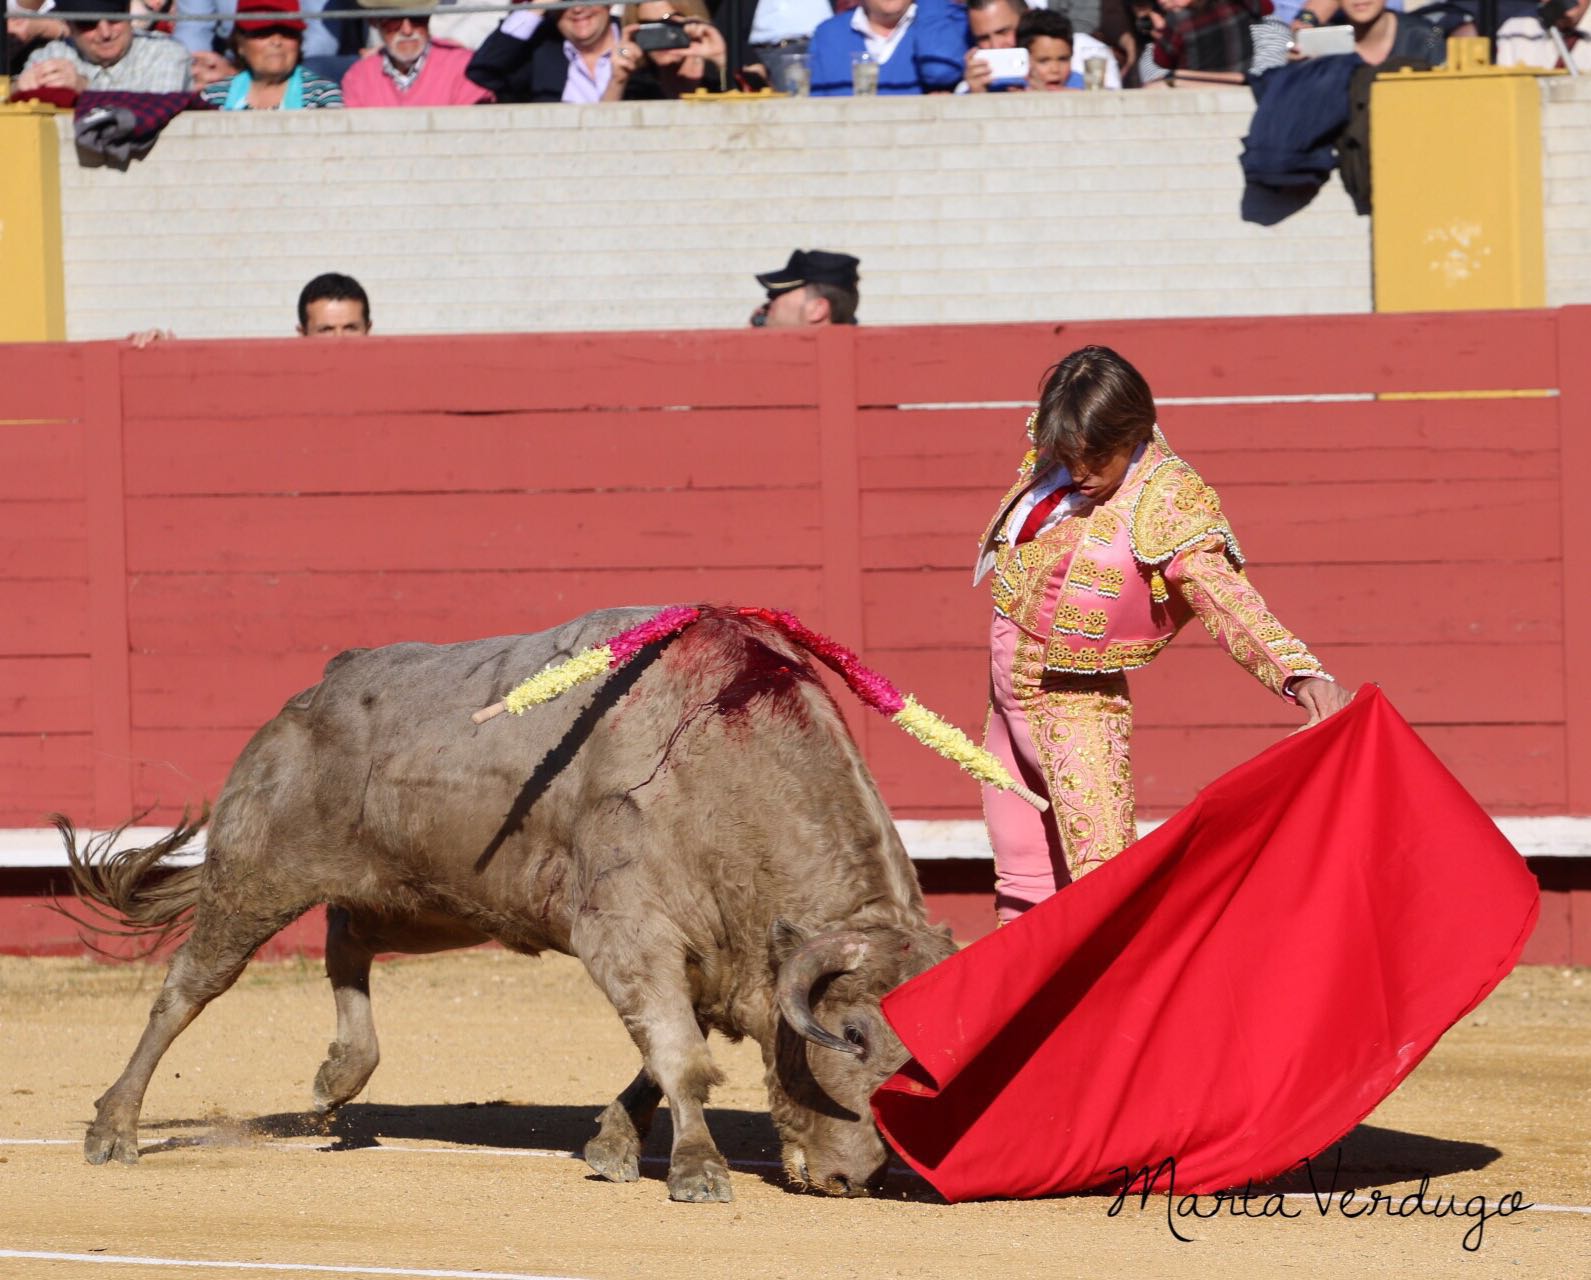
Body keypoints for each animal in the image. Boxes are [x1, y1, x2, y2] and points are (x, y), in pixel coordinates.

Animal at [56, 607, 954, 1195]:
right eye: (849, 1037)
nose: (849, 1178)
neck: (722, 769)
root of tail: (317, 689)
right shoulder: (625, 933)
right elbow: (679, 1054)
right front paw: (697, 1170)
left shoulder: (694, 953)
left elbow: (661, 1052)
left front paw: (612, 1146)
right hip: (256, 875)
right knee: (188, 990)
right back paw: (113, 1128)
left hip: (430, 899)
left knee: (349, 936)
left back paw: (340, 1075)